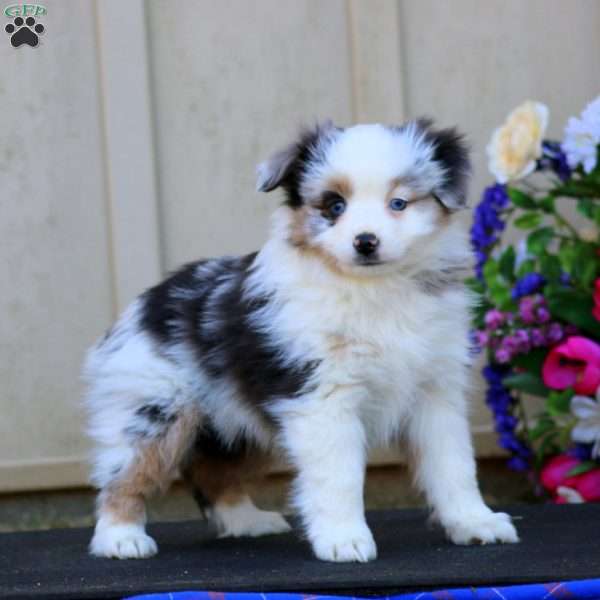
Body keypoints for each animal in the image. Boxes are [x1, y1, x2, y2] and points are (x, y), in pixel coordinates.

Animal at [82, 118, 516, 564]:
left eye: (399, 203)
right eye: (334, 206)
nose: (365, 241)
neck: (375, 288)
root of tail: (145, 302)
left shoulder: (435, 393)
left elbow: (454, 465)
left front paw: (474, 523)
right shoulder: (322, 397)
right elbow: (339, 475)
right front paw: (344, 539)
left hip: (235, 417)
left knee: (213, 472)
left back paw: (246, 522)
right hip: (152, 409)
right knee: (126, 474)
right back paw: (121, 538)